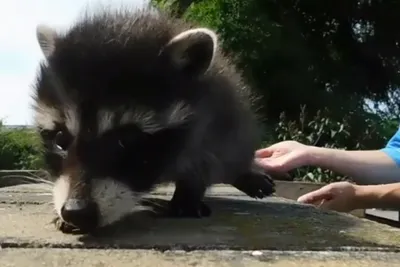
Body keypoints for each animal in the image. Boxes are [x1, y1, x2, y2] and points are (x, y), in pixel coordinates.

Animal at [32, 5, 276, 234]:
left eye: (127, 140)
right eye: (60, 139)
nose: (76, 211)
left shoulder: (213, 117)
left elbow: (208, 157)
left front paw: (190, 192)